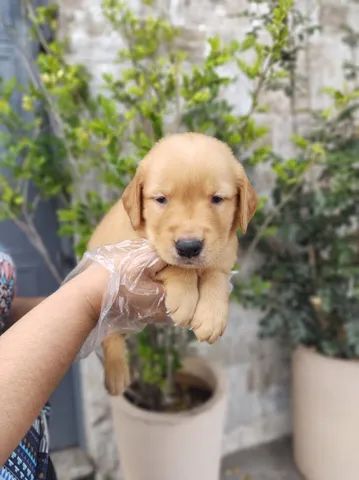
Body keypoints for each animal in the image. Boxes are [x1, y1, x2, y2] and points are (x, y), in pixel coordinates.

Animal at [90, 131, 258, 394]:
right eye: (161, 199)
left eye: (217, 199)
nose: (189, 247)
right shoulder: (134, 249)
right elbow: (172, 264)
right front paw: (185, 296)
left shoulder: (225, 251)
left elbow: (216, 274)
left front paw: (211, 317)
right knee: (110, 335)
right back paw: (117, 373)